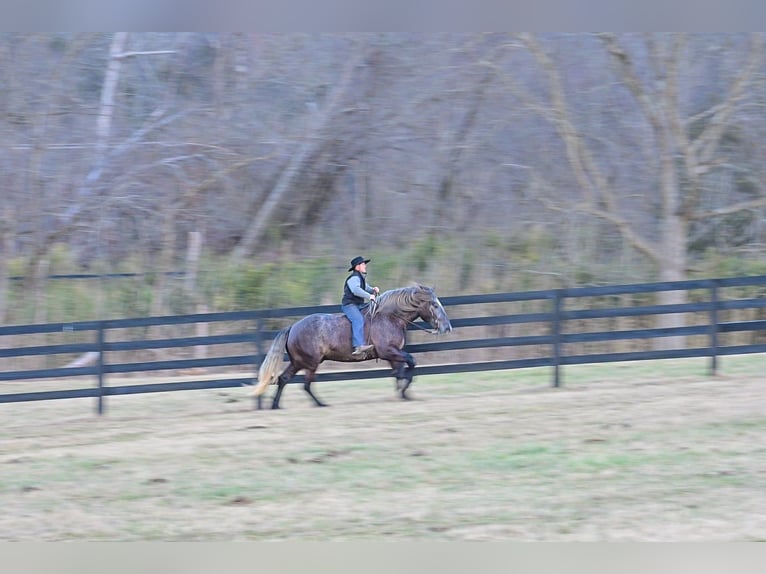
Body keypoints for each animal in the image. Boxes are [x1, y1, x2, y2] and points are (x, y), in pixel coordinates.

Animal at [252, 284, 452, 409]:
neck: (389, 317)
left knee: (284, 379)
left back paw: (275, 405)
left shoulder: (393, 355)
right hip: (310, 363)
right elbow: (411, 363)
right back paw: (320, 404)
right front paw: (405, 389)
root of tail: (293, 327)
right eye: (434, 305)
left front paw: (403, 394)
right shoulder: (389, 351)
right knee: (306, 385)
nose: (447, 327)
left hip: (298, 362)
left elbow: (399, 373)